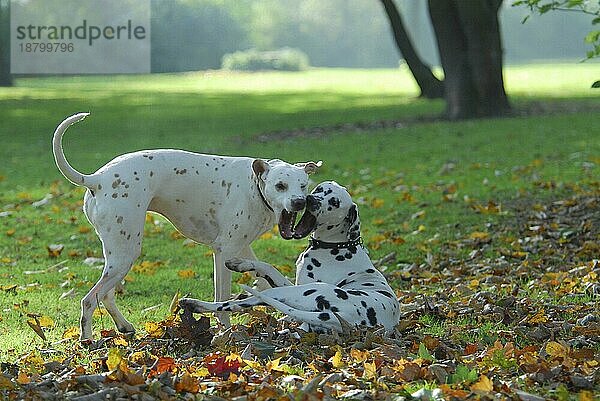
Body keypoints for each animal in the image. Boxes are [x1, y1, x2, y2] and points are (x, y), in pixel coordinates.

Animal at [54, 113, 322, 340]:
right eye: (280, 186)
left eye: (303, 185)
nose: (299, 202)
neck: (254, 185)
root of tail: (97, 179)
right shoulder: (223, 252)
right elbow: (222, 300)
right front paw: (225, 330)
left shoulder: (241, 249)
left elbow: (264, 280)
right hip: (125, 253)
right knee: (90, 300)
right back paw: (87, 340)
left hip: (119, 257)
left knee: (106, 294)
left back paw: (123, 326)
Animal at [180, 181, 400, 332]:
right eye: (320, 189)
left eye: (335, 202)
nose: (309, 200)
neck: (337, 245)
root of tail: (344, 316)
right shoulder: (290, 281)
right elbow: (269, 267)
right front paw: (240, 263)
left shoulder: (297, 286)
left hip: (295, 292)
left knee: (232, 304)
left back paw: (195, 304)